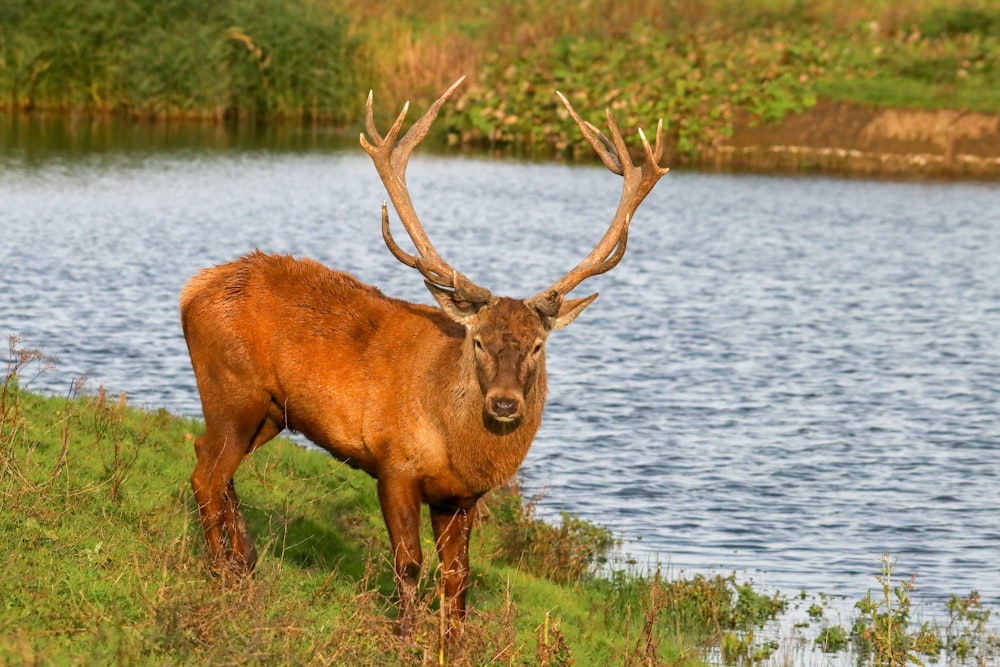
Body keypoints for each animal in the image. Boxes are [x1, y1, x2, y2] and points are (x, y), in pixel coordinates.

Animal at [180, 75, 668, 636]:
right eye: (477, 339)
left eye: (537, 344)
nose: (504, 403)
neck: (457, 446)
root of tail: (190, 291)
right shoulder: (394, 466)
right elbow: (408, 561)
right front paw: (405, 634)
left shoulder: (462, 495)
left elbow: (458, 577)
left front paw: (450, 641)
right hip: (231, 390)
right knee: (206, 475)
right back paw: (221, 572)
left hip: (268, 412)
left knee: (212, 463)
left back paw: (245, 562)